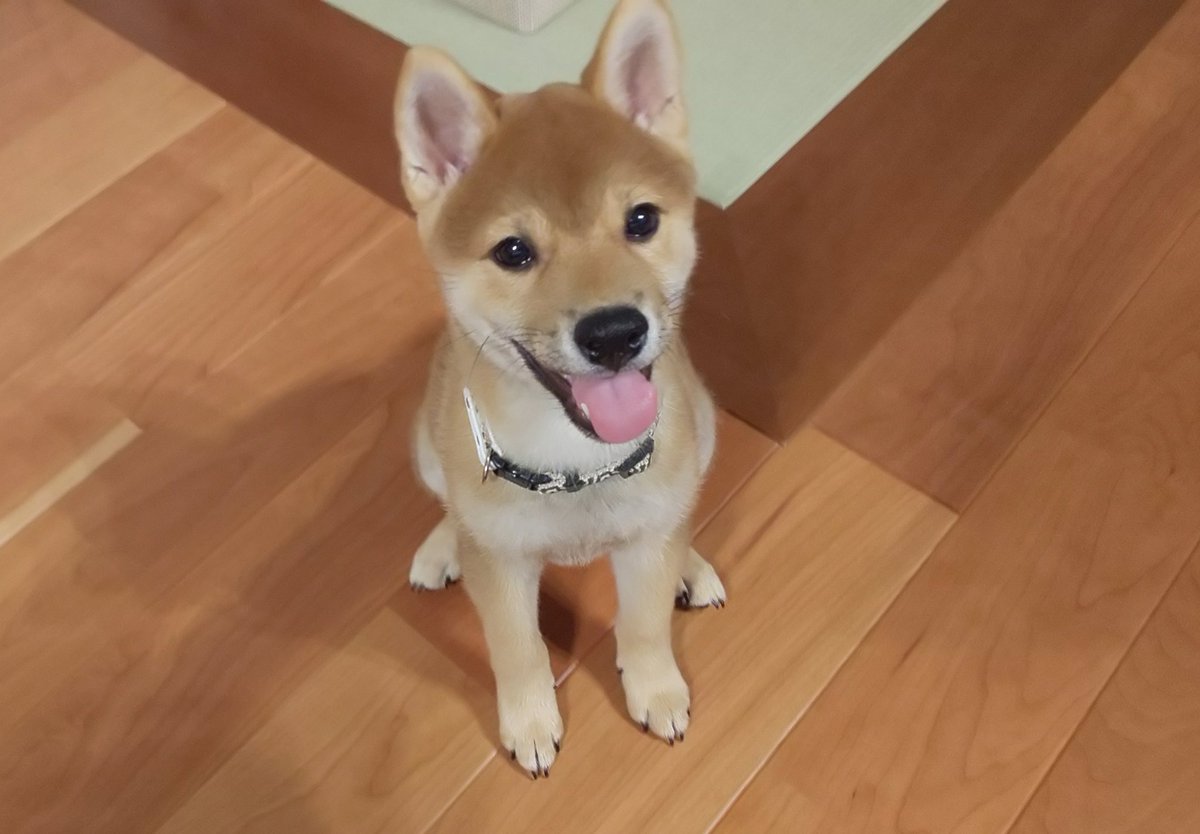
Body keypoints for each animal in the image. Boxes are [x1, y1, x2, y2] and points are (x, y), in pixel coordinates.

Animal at [395, 0, 724, 778]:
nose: (614, 333)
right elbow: (516, 651)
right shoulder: (503, 567)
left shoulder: (647, 539)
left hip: (705, 427)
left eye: (642, 220)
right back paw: (442, 546)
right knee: (448, 507)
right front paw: (530, 720)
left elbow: (643, 624)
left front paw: (655, 687)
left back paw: (691, 566)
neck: (577, 466)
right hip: (424, 442)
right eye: (513, 251)